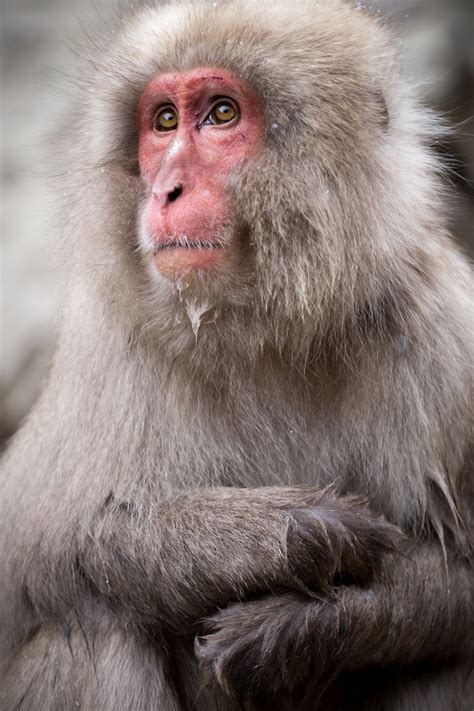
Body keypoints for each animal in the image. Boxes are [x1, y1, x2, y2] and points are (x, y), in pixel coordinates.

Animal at [0, 0, 472, 709]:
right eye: (164, 121)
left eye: (221, 113)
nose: (165, 189)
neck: (268, 328)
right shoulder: (107, 339)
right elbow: (40, 548)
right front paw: (287, 533)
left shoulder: (446, 333)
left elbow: (461, 585)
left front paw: (306, 627)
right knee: (93, 626)